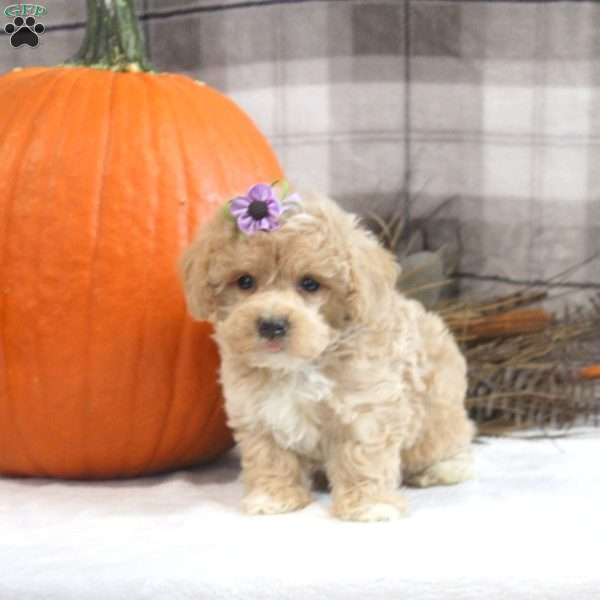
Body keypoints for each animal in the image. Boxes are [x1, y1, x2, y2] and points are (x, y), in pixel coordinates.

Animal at [178, 188, 474, 520]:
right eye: (245, 281)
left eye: (310, 283)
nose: (271, 324)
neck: (299, 364)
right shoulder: (258, 412)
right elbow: (269, 456)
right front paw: (273, 497)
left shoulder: (366, 407)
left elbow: (363, 458)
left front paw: (370, 505)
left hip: (440, 416)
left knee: (453, 443)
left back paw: (442, 469)